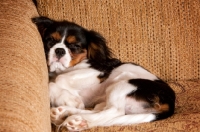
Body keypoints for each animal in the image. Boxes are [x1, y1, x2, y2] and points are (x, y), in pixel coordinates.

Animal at [31, 16, 175, 131]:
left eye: (75, 46)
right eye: (50, 41)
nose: (59, 50)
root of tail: (171, 102)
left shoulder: (97, 71)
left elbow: (58, 79)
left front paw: (70, 99)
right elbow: (52, 81)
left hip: (124, 84)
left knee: (114, 112)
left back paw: (76, 120)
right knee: (100, 110)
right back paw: (67, 115)